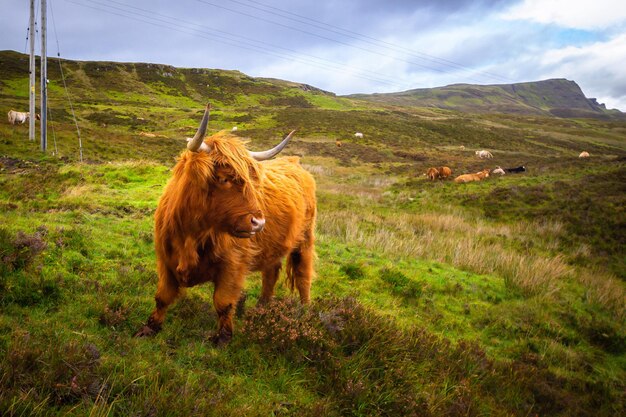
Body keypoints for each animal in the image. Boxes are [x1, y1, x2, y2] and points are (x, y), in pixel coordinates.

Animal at [134, 104, 314, 344]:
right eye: (223, 178)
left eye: (252, 181)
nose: (259, 223)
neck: (191, 234)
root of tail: (294, 162)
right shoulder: (165, 260)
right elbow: (162, 296)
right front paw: (149, 328)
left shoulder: (233, 265)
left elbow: (223, 303)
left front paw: (223, 338)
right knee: (271, 273)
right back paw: (262, 309)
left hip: (305, 240)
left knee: (303, 277)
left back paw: (305, 314)